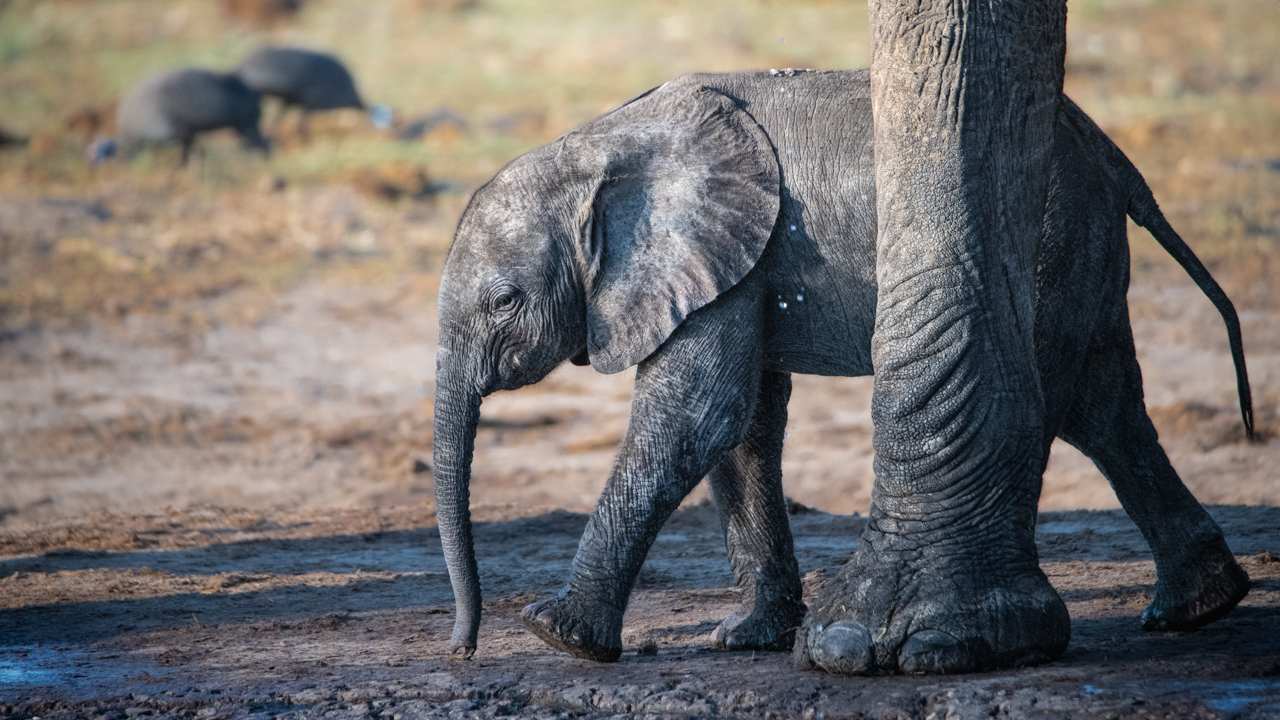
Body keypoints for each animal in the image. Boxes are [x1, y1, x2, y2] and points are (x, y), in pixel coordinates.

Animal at [431, 68, 1253, 671]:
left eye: (503, 303)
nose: (463, 649)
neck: (594, 153)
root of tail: (1108, 149)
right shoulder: (740, 265)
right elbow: (742, 430)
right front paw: (747, 639)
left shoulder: (715, 253)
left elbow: (699, 416)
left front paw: (556, 633)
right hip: (1079, 240)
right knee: (1104, 406)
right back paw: (1194, 607)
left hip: (1048, 232)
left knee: (1069, 398)